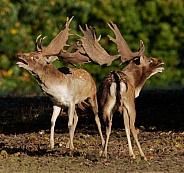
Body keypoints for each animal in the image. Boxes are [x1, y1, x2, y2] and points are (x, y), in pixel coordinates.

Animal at [77, 22, 164, 161]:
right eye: (149, 60)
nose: (161, 61)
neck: (134, 81)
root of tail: (117, 80)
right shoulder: (126, 105)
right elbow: (127, 127)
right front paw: (132, 154)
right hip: (130, 103)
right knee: (133, 127)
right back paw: (143, 155)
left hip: (106, 104)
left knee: (108, 125)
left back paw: (104, 153)